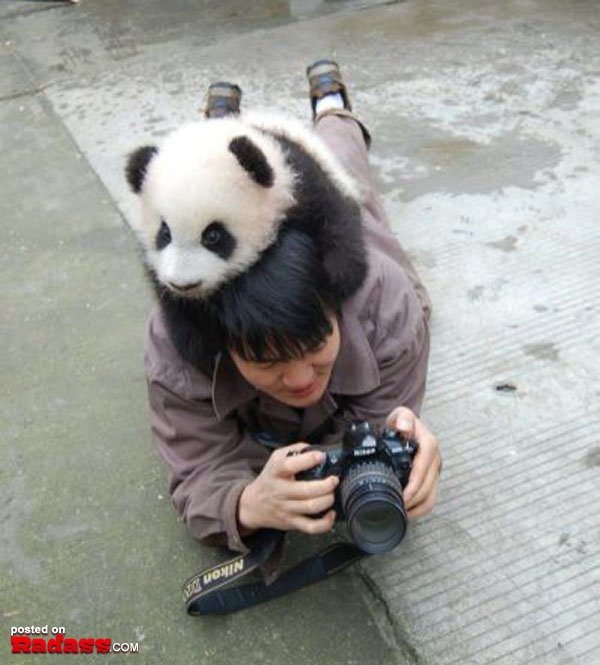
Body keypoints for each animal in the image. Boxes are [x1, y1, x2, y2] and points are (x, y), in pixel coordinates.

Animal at [125, 112, 368, 369]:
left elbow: (337, 227)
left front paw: (335, 278)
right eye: (164, 233)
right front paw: (200, 345)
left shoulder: (304, 183)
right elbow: (172, 305)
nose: (184, 284)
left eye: (213, 235)